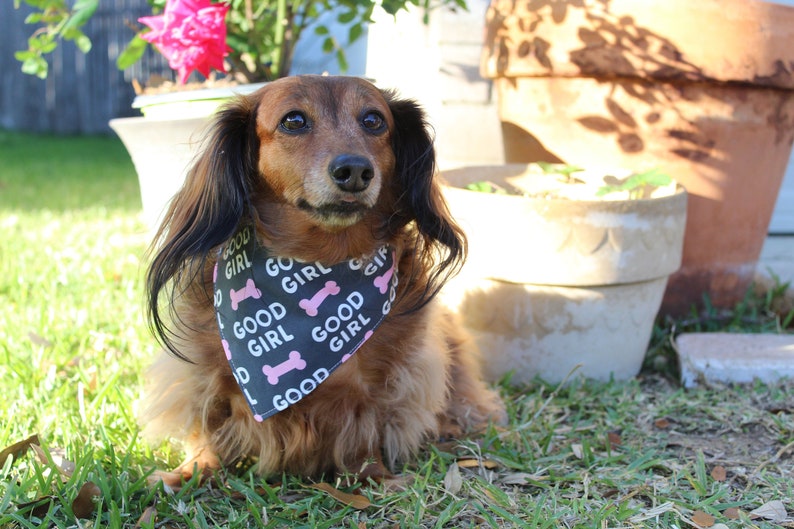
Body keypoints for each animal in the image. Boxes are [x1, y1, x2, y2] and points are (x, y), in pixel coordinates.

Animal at [142, 75, 502, 486]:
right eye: (294, 120)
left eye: (374, 120)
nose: (356, 170)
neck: (317, 264)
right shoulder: (204, 375)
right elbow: (207, 427)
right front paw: (191, 471)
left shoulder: (387, 383)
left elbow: (366, 431)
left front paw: (375, 478)